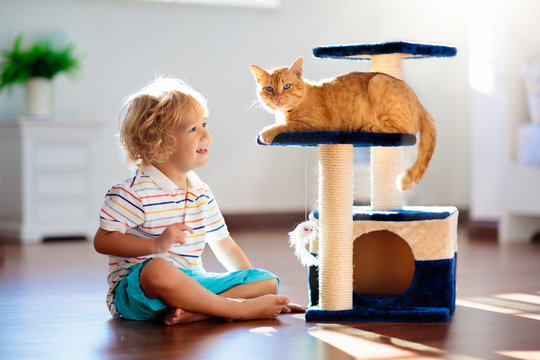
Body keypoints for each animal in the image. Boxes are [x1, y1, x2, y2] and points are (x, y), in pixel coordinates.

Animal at [251, 57, 436, 191]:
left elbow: (285, 126)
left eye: (287, 86)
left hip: (378, 82)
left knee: (402, 130)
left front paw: (266, 133)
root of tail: (421, 105)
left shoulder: (314, 124)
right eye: (269, 89)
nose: (278, 97)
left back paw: (371, 127)